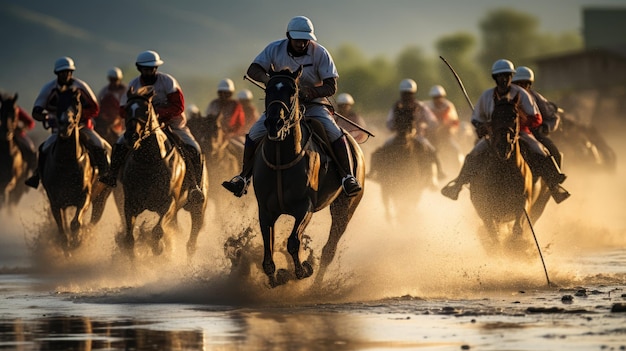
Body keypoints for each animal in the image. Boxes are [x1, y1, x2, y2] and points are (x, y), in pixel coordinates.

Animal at [39, 87, 111, 253]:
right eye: (57, 101)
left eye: (77, 102)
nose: (66, 124)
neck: (67, 162)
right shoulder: (55, 201)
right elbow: (61, 228)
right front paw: (66, 244)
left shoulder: (85, 196)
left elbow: (76, 223)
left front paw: (77, 241)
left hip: (102, 196)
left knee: (94, 219)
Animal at [116, 86, 206, 258]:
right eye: (126, 109)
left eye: (145, 110)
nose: (131, 136)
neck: (149, 162)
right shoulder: (130, 204)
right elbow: (129, 239)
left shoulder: (168, 204)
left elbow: (157, 231)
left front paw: (158, 248)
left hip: (198, 206)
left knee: (192, 241)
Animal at [251, 66, 364, 288]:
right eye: (268, 89)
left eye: (293, 91)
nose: (275, 123)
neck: (281, 157)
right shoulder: (265, 210)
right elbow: (268, 250)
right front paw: (274, 278)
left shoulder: (305, 207)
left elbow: (294, 242)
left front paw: (302, 270)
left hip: (345, 207)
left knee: (330, 249)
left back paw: (317, 286)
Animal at [466, 93, 548, 253]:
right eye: (494, 115)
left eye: (514, 115)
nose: (503, 146)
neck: (503, 173)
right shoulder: (485, 209)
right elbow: (493, 233)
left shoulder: (523, 203)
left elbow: (517, 229)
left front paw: (515, 248)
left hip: (540, 202)